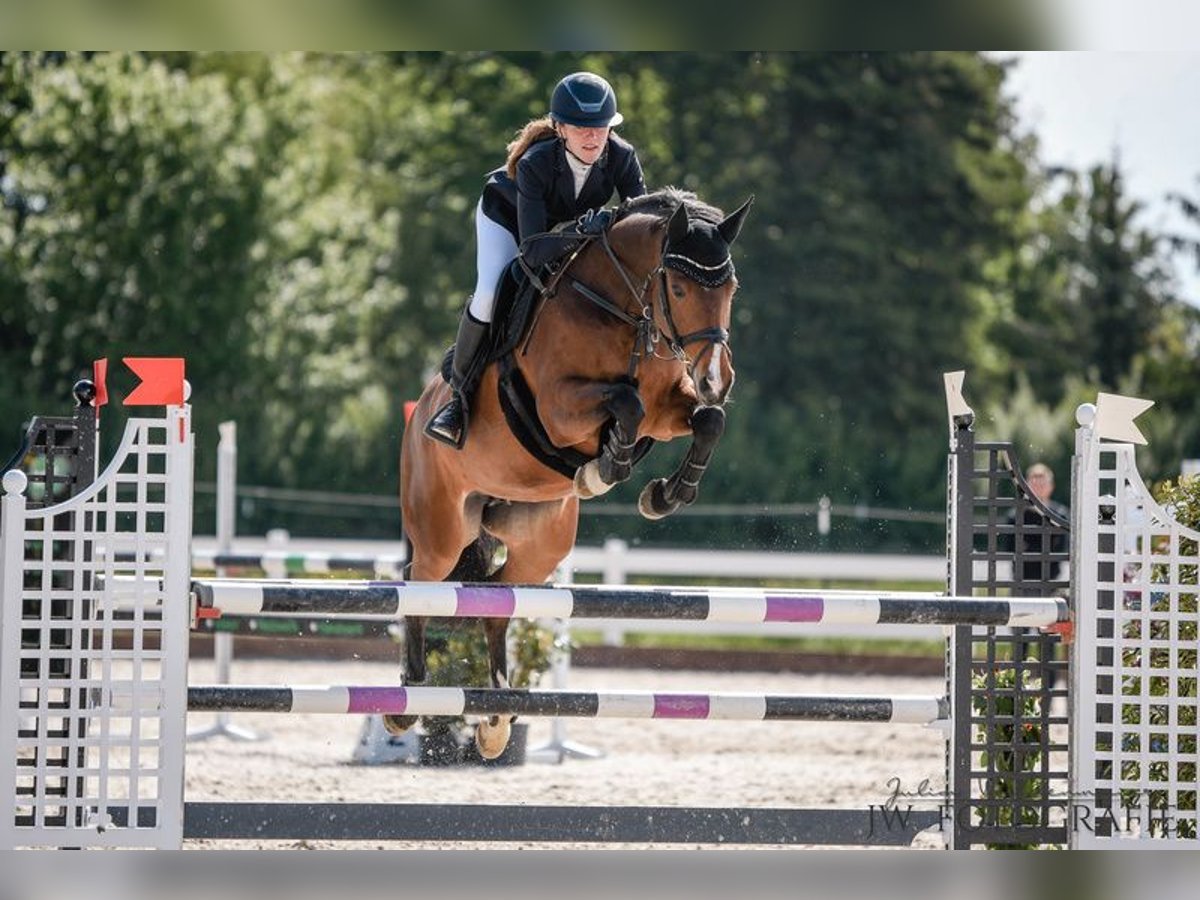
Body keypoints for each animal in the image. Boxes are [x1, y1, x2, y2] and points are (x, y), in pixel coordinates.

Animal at [392, 186, 753, 758]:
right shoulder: (561, 409)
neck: (625, 309)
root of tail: (419, 414)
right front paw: (604, 468)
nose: (717, 377)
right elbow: (625, 403)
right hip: (442, 530)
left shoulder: (669, 408)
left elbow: (707, 420)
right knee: (419, 585)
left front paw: (663, 494)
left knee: (498, 597)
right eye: (677, 286)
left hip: (540, 541)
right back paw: (408, 700)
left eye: (731, 288)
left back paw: (496, 718)